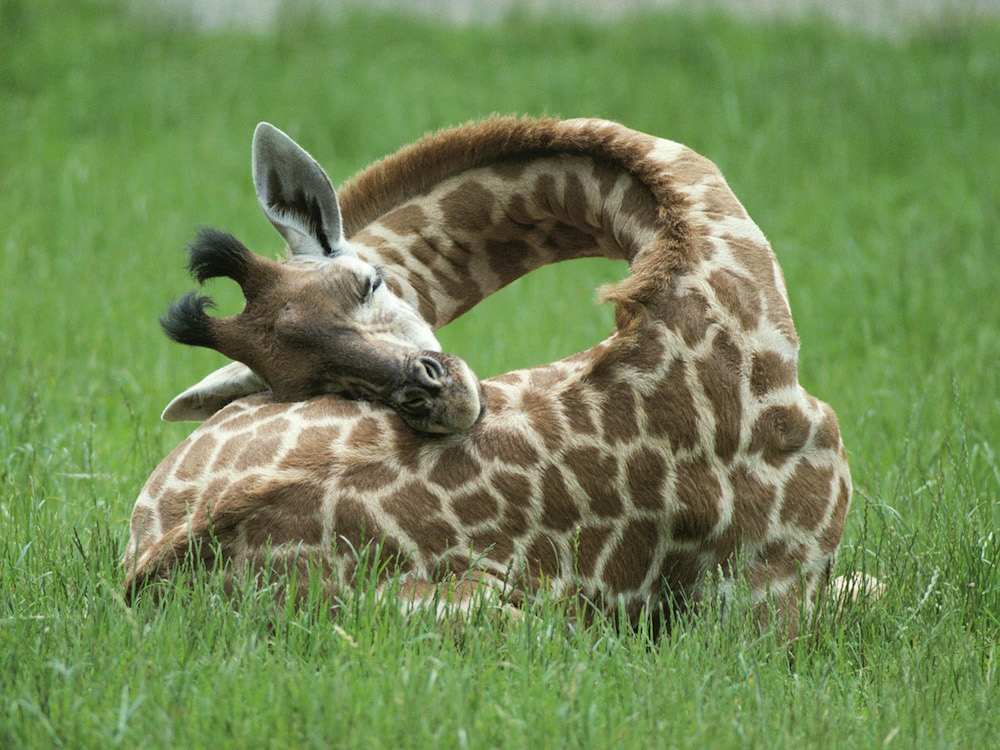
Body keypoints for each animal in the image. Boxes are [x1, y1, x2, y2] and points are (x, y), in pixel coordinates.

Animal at [125, 117, 857, 634]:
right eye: (302, 381)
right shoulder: (774, 592)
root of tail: (146, 578)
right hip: (509, 616)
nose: (432, 395)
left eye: (369, 283)